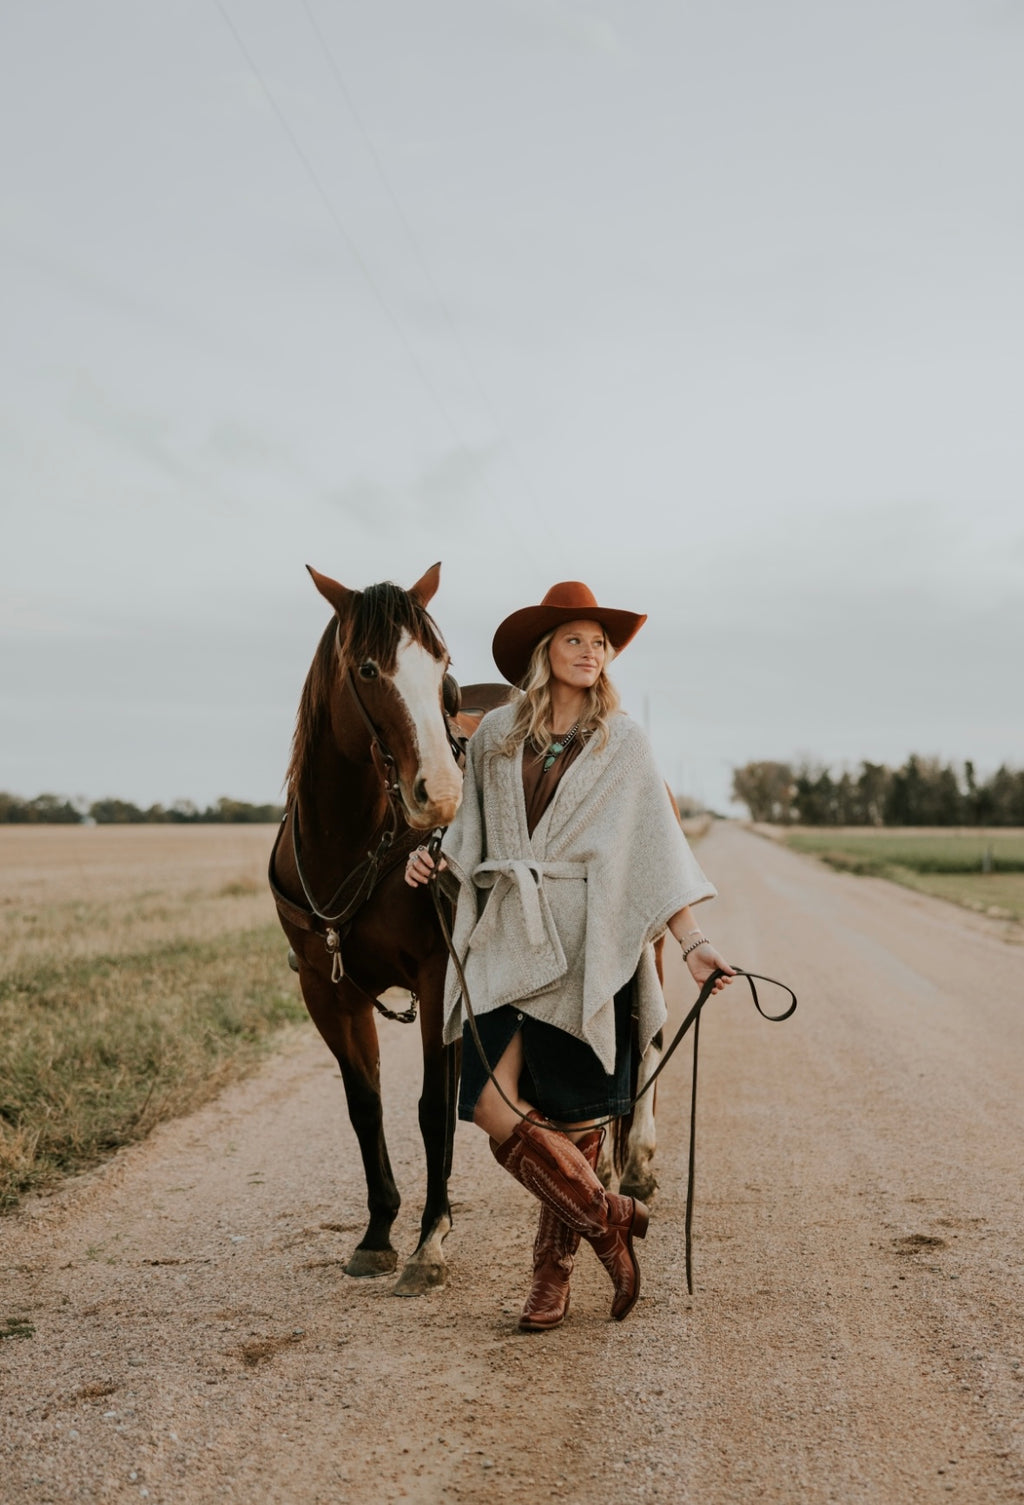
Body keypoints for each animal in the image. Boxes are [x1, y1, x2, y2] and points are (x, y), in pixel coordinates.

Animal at [269, 562, 466, 1294]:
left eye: (441, 665)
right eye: (369, 668)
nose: (442, 794)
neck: (352, 843)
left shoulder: (440, 976)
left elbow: (432, 1105)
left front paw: (430, 1238)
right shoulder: (329, 991)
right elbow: (365, 1103)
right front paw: (379, 1231)